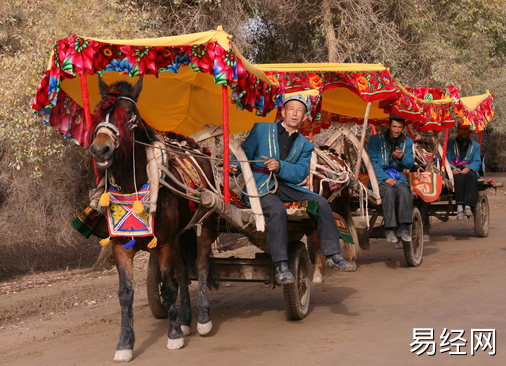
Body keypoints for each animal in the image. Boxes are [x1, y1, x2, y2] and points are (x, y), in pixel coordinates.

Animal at [89, 76, 217, 360]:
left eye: (130, 115)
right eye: (98, 113)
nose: (100, 150)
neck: (133, 187)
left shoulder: (164, 243)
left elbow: (168, 288)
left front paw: (174, 335)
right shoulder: (120, 247)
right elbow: (125, 294)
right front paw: (125, 344)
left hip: (203, 223)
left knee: (201, 266)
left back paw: (203, 318)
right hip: (181, 234)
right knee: (183, 271)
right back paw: (185, 318)